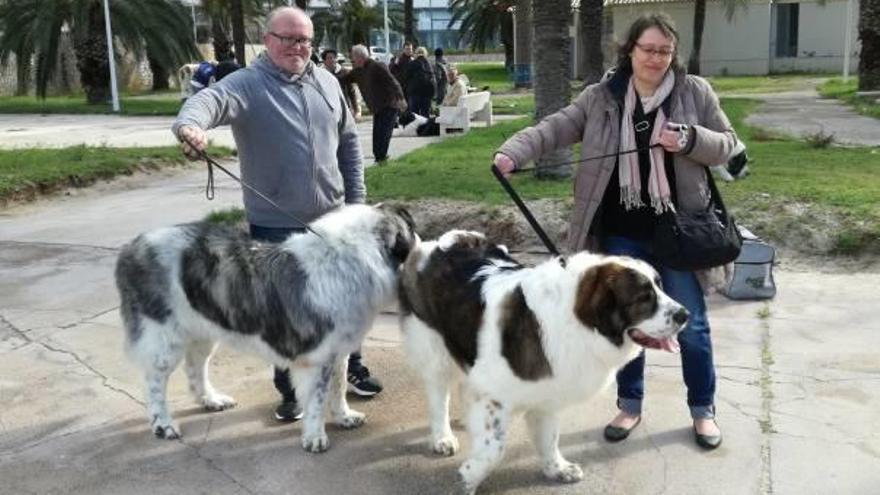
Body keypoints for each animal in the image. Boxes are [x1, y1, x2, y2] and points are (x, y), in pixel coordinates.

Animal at [114, 203, 416, 452]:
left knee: (195, 369)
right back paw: (163, 425)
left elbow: (338, 388)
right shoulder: (317, 359)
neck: (350, 261)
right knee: (154, 382)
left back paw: (211, 400)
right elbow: (317, 400)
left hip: (202, 330)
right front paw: (315, 438)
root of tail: (130, 247)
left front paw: (345, 417)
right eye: (412, 231)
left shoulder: (337, 353)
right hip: (164, 338)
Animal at [398, 231, 688, 494]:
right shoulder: (495, 394)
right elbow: (494, 449)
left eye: (660, 287)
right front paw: (468, 478)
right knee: (438, 396)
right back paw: (442, 437)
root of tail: (436, 244)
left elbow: (549, 438)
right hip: (433, 347)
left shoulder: (548, 394)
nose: (685, 314)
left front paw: (557, 469)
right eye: (644, 298)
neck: (575, 321)